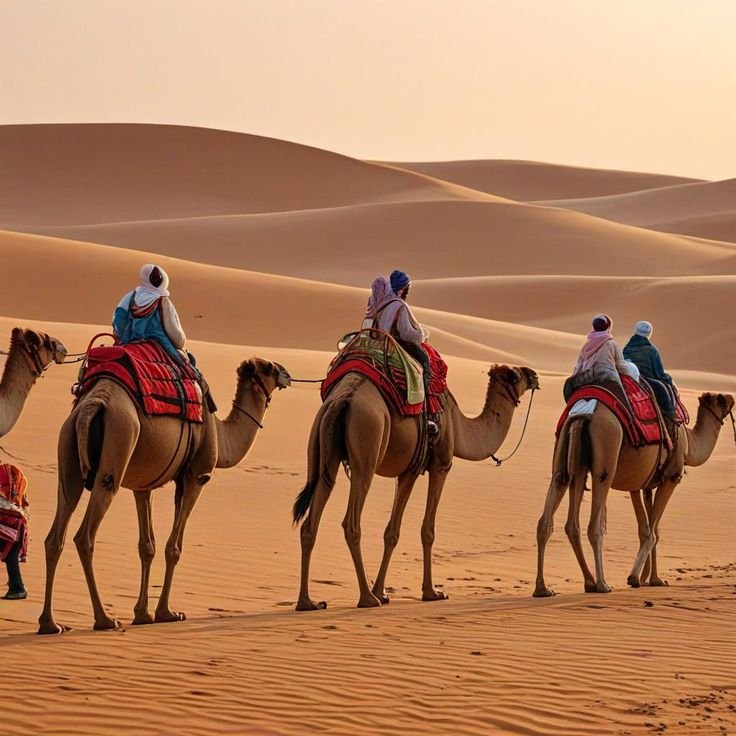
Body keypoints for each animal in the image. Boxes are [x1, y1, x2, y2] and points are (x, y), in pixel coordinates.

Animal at [38, 357, 291, 634]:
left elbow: (147, 546)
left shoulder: (143, 486)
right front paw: (166, 613)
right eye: (269, 368)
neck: (220, 433)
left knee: (55, 535)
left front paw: (142, 614)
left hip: (68, 449)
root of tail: (91, 405)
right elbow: (173, 548)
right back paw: (104, 619)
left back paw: (50, 623)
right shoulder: (196, 477)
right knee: (84, 537)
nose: (287, 374)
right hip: (118, 445)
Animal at [293, 364, 539, 610]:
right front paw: (431, 592)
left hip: (323, 446)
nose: (534, 375)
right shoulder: (437, 465)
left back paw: (307, 602)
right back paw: (367, 598)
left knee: (310, 522)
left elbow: (391, 532)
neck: (457, 424)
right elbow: (426, 531)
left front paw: (383, 592)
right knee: (351, 523)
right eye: (517, 375)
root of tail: (342, 400)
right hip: (367, 446)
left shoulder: (405, 472)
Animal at [534, 391, 735, 597]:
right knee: (594, 526)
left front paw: (652, 579)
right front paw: (636, 577)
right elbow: (652, 532)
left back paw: (550, 587)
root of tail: (583, 412)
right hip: (607, 450)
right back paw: (602, 584)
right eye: (721, 399)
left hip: (568, 454)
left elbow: (648, 529)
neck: (688, 443)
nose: (731, 397)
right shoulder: (671, 478)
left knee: (555, 517)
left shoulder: (639, 485)